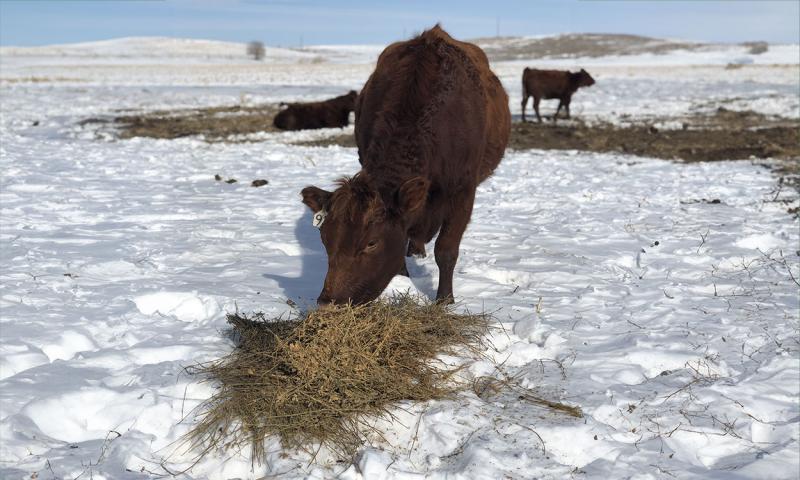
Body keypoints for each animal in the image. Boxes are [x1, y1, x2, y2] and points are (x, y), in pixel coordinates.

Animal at [300, 25, 511, 306]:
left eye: (371, 243)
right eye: (325, 239)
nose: (328, 302)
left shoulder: (464, 190)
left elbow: (446, 249)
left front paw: (445, 300)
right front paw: (403, 282)